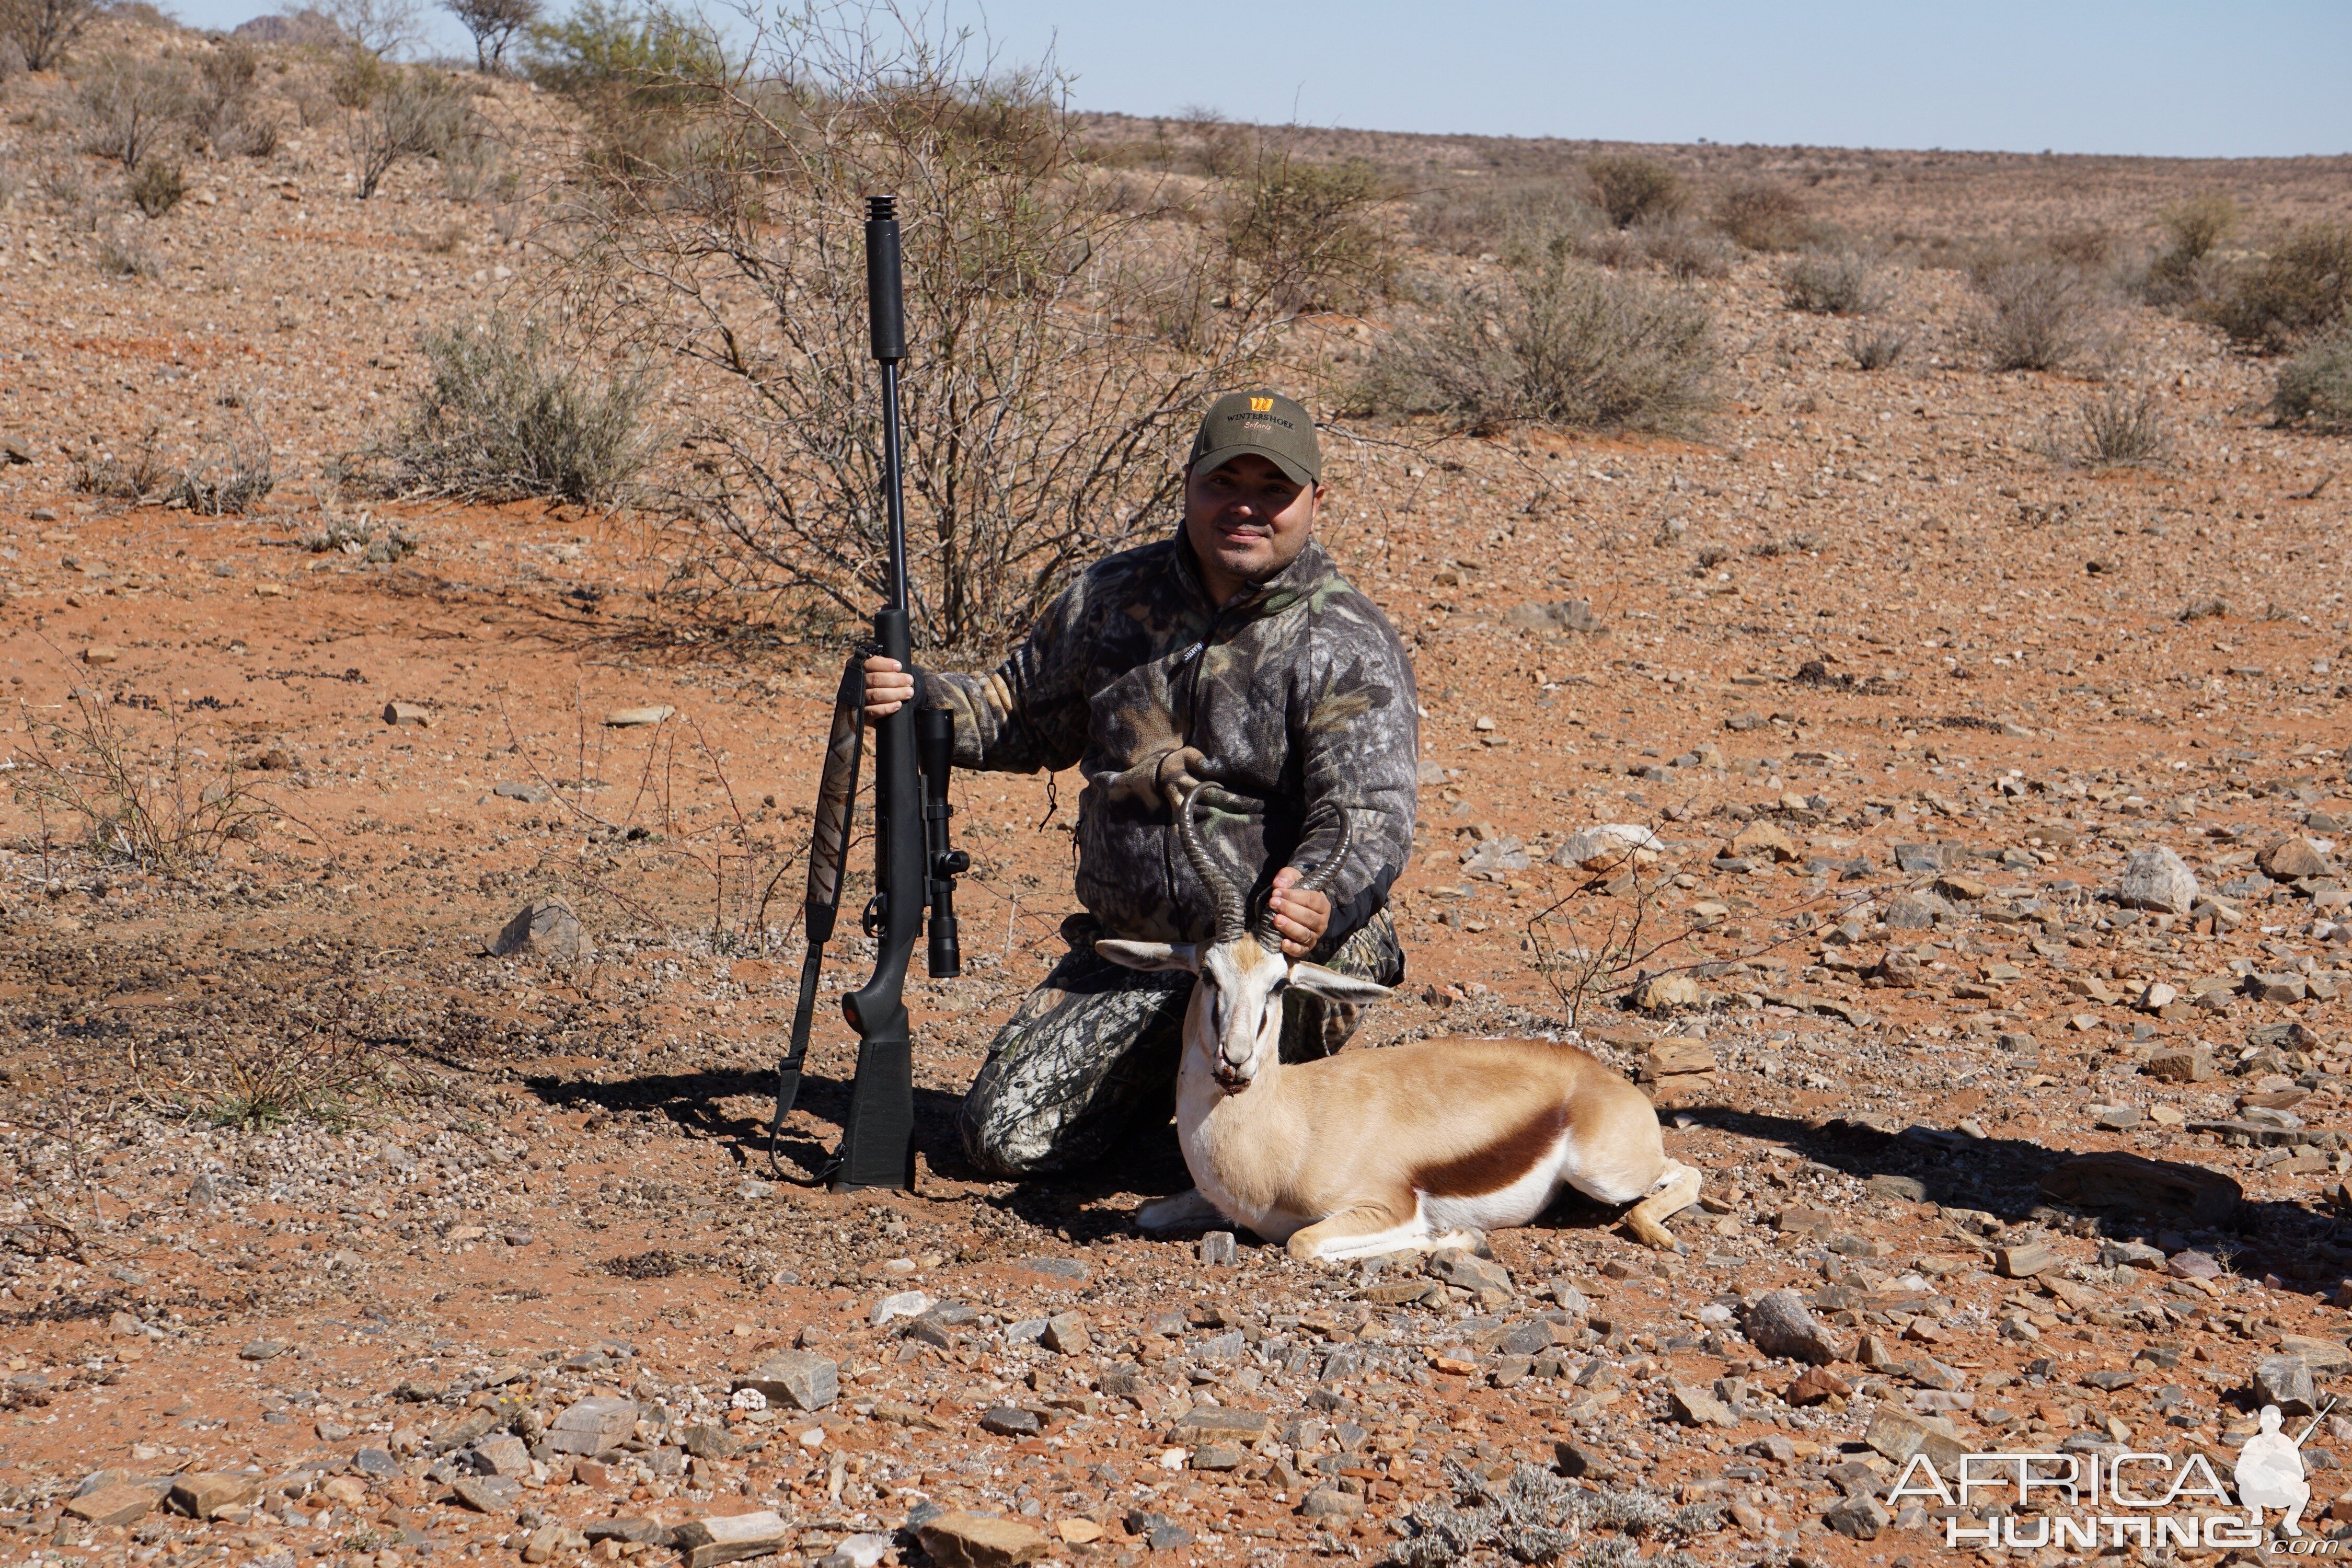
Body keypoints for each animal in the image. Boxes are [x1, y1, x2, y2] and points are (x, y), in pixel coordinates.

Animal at [1091, 785, 1703, 1260]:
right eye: (1207, 974)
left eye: (1280, 984)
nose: (1234, 1062)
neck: (1288, 1125)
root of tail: (1594, 1073)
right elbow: (1146, 1213)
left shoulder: (1387, 1207)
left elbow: (1303, 1243)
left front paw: (1459, 1239)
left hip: (1604, 1175)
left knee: (1685, 1173)